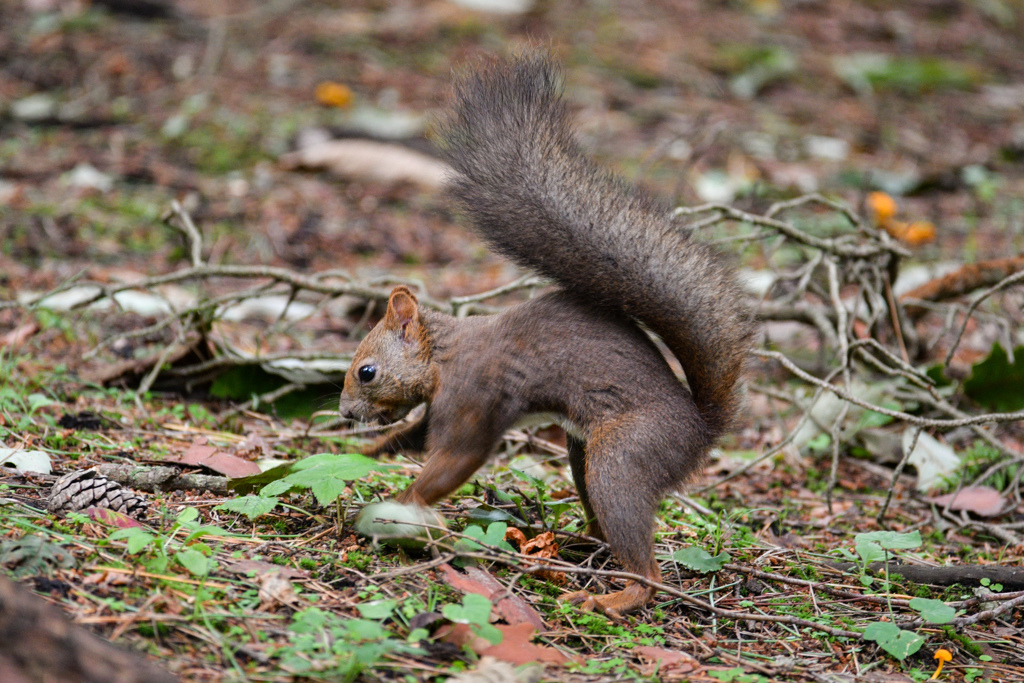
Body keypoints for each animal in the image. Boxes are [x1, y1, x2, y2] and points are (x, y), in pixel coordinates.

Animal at [339, 53, 757, 618]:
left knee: (645, 570)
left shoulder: (474, 395)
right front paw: (368, 451)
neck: (446, 355)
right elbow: (413, 436)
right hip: (583, 457)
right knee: (604, 529)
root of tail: (700, 428)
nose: (344, 413)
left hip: (622, 458)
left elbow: (456, 457)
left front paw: (403, 506)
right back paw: (576, 544)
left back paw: (610, 597)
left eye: (367, 372)